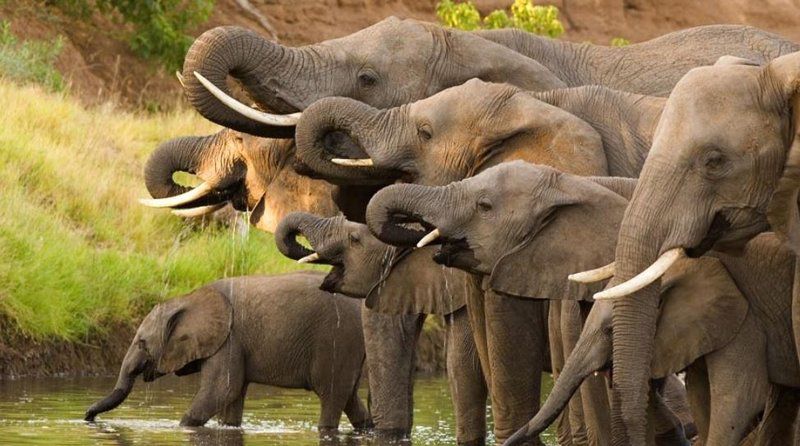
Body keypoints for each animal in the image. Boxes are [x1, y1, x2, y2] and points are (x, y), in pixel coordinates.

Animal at [84, 270, 372, 434]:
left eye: (142, 343)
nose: (87, 417)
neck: (189, 298)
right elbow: (232, 397)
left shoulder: (229, 339)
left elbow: (222, 390)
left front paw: (181, 427)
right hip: (350, 346)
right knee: (349, 397)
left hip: (337, 340)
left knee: (332, 395)